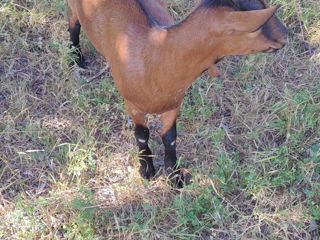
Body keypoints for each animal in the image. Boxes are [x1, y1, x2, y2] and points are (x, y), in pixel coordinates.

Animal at [66, 0, 286, 186]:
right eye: (258, 26)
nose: (285, 35)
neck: (157, 55)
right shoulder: (131, 103)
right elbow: (142, 135)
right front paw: (147, 170)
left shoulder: (174, 103)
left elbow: (170, 137)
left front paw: (174, 176)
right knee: (73, 22)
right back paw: (75, 57)